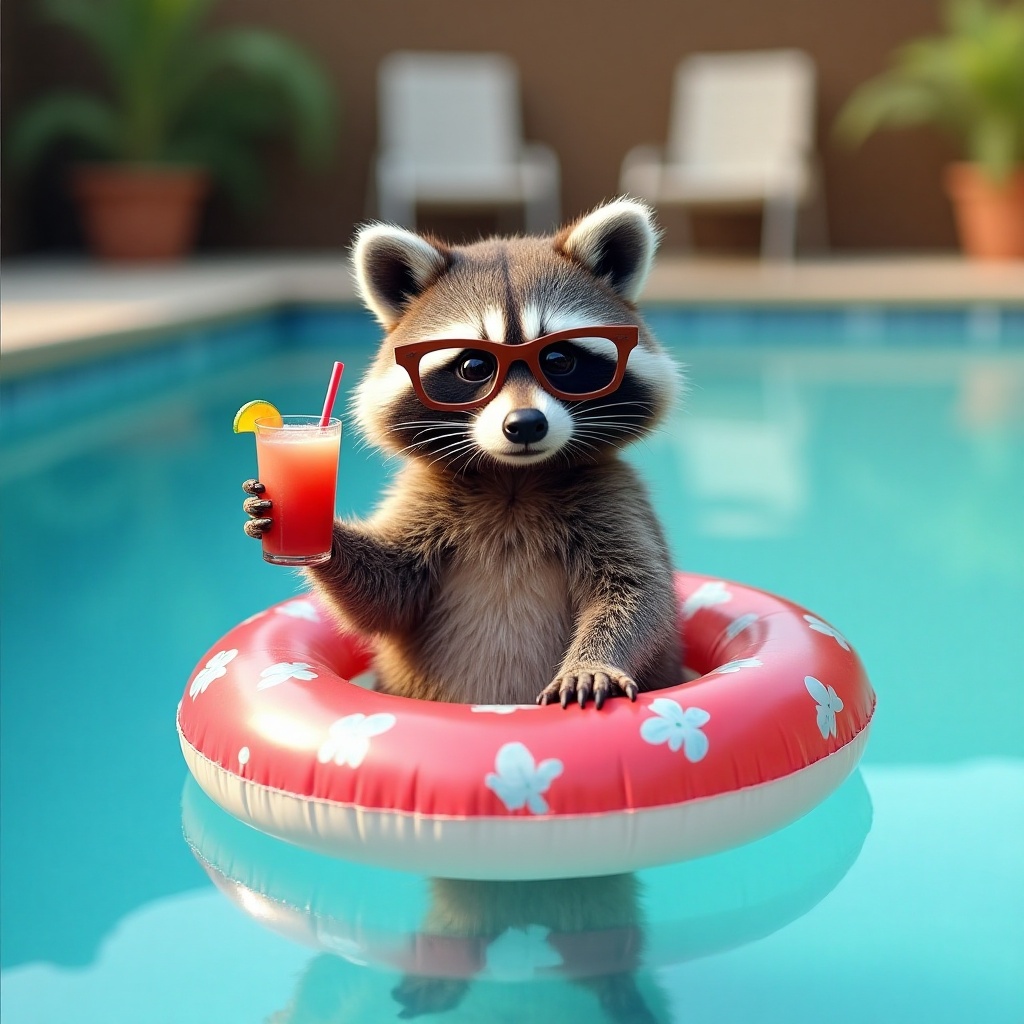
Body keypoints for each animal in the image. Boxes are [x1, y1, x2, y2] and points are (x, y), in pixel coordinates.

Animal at [243, 198, 682, 709]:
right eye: (474, 366)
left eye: (558, 361)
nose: (525, 425)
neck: (514, 479)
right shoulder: (425, 498)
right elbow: (388, 593)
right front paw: (317, 532)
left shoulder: (613, 497)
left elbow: (640, 595)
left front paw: (596, 661)